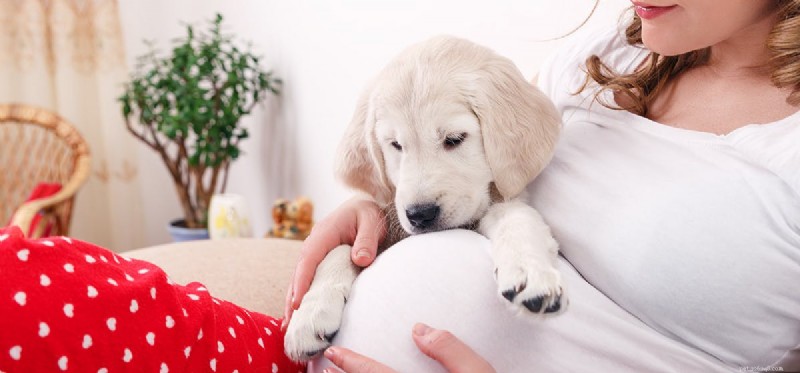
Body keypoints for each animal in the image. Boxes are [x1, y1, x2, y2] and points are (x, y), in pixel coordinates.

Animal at [284, 35, 564, 360]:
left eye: (454, 139)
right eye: (395, 144)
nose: (420, 215)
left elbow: (517, 218)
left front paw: (529, 271)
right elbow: (340, 248)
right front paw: (310, 314)